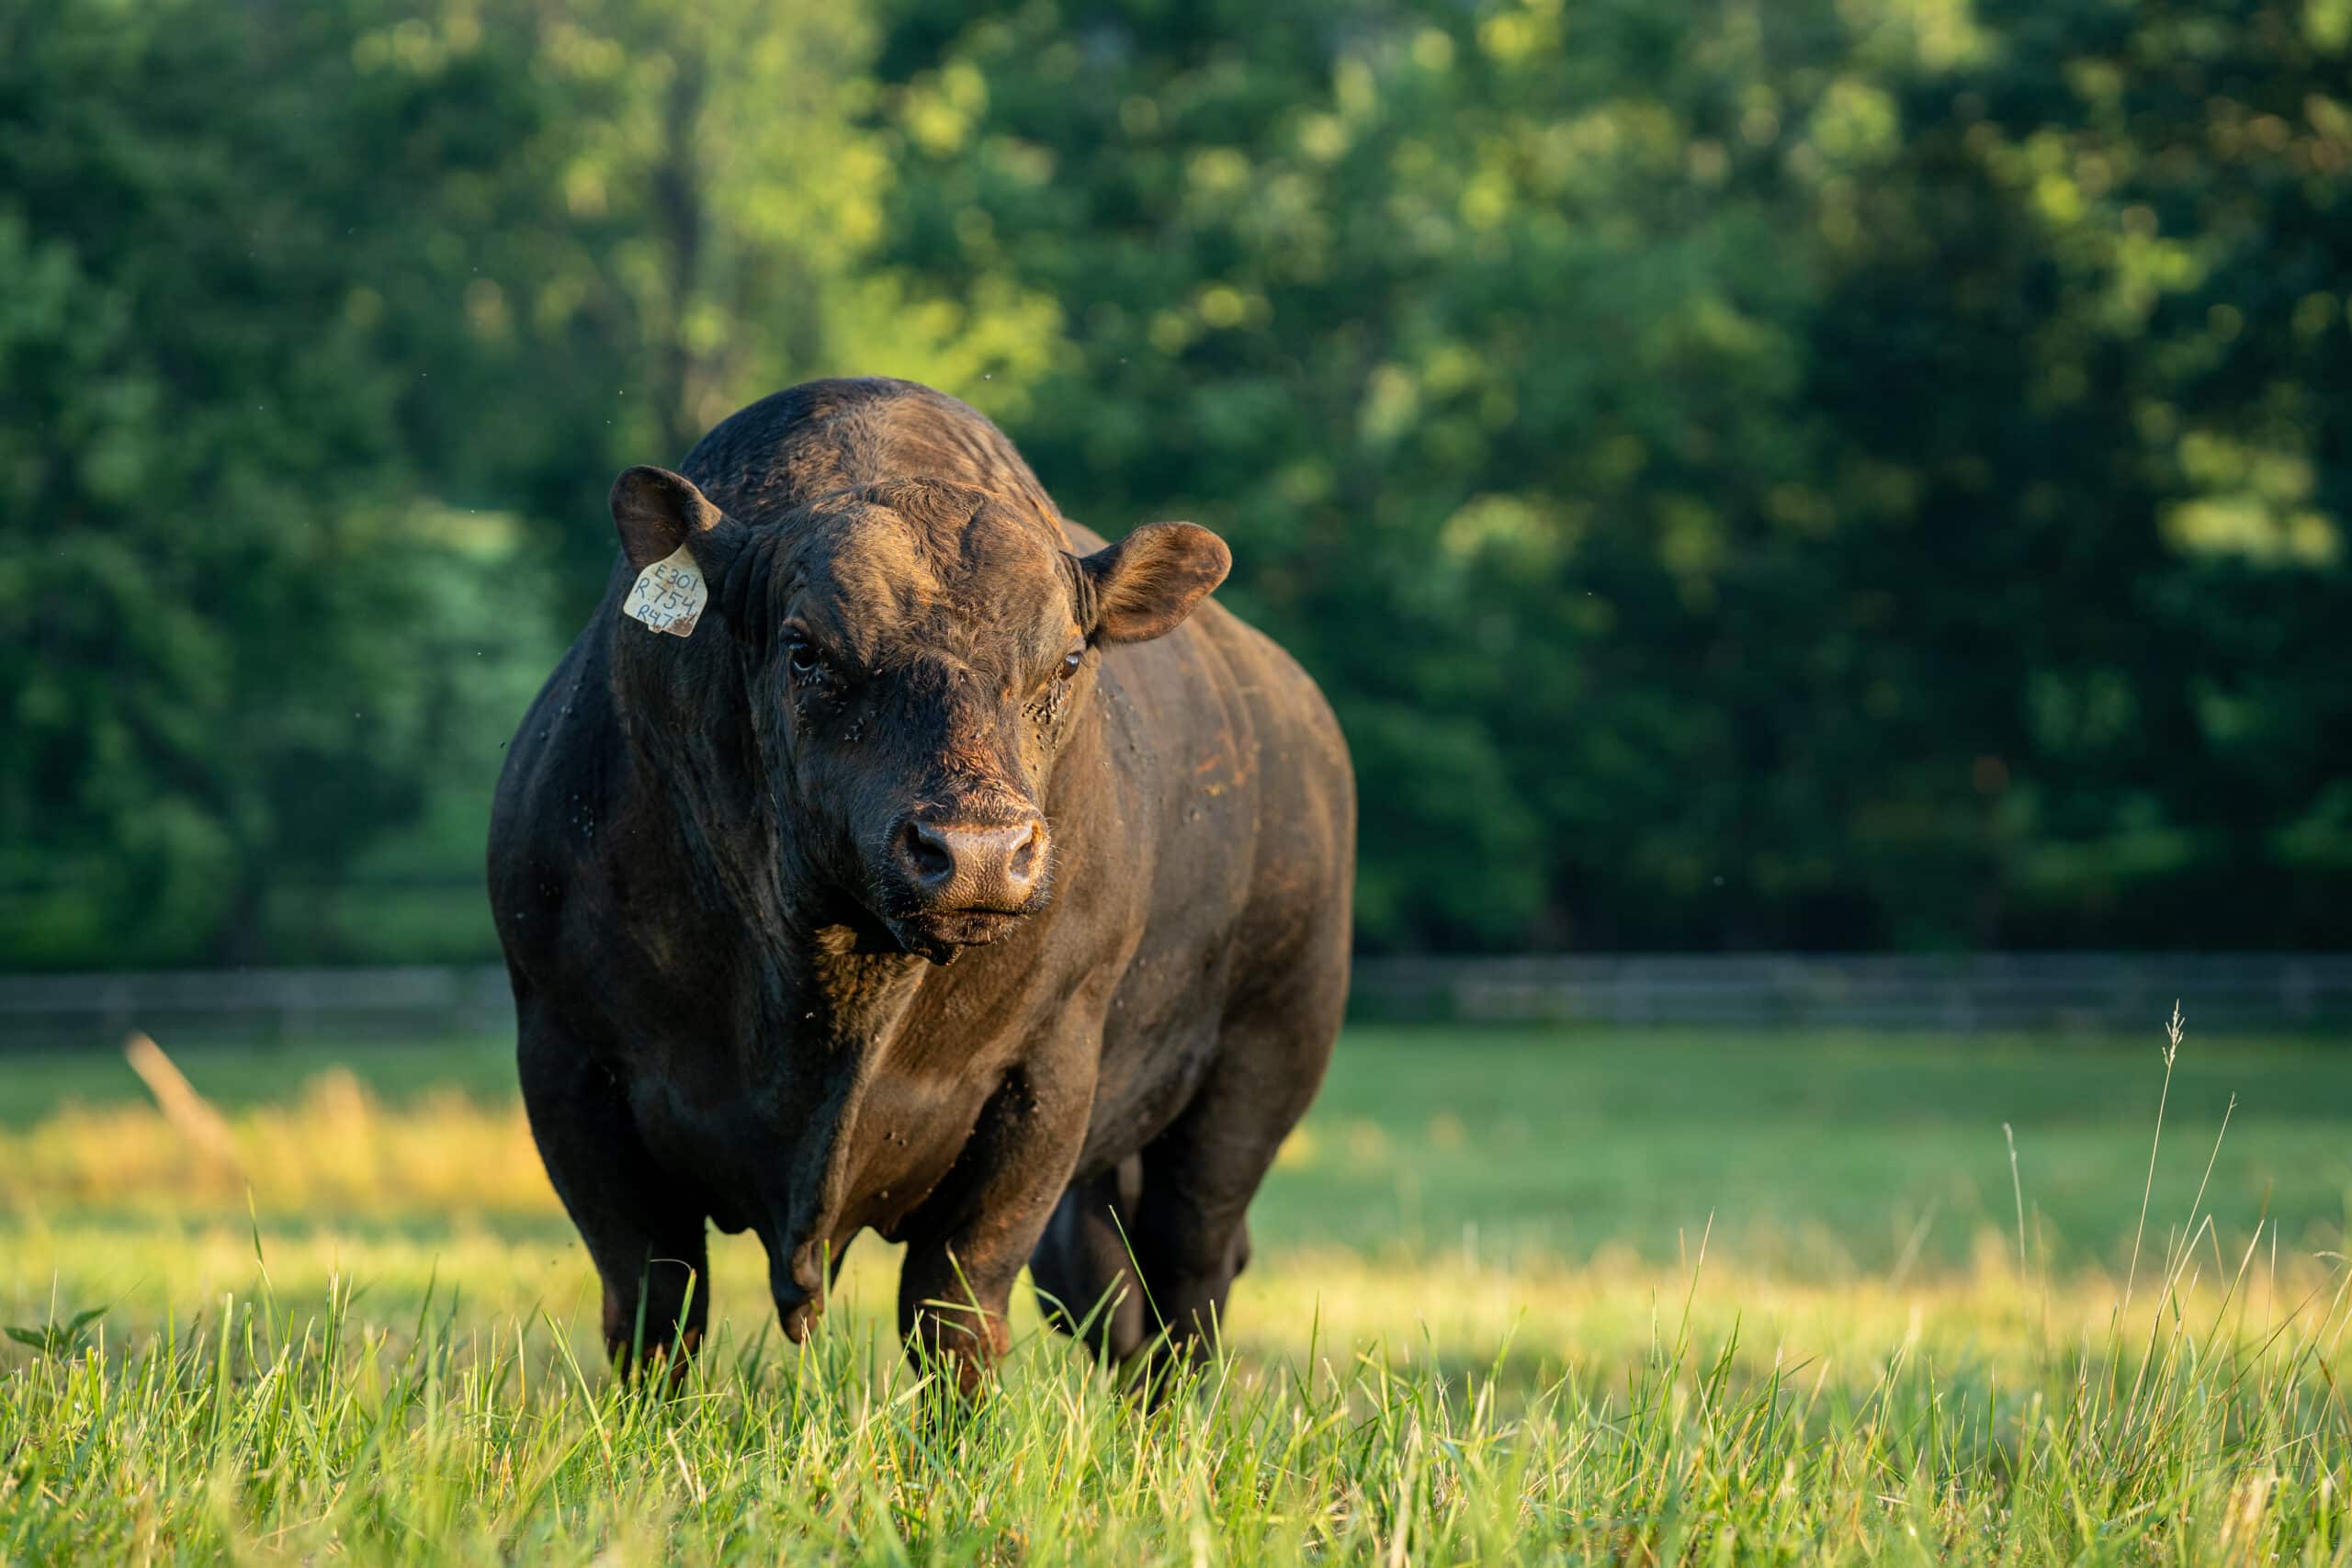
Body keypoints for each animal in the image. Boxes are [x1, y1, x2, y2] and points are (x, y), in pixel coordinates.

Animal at [486, 380, 1354, 1401]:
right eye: (806, 650)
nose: (977, 850)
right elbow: (656, 1308)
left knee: (1188, 1278)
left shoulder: (1045, 1075)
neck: (827, 992)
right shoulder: (567, 1059)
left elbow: (954, 1310)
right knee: (1109, 1292)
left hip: (1259, 1065)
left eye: (1067, 660)